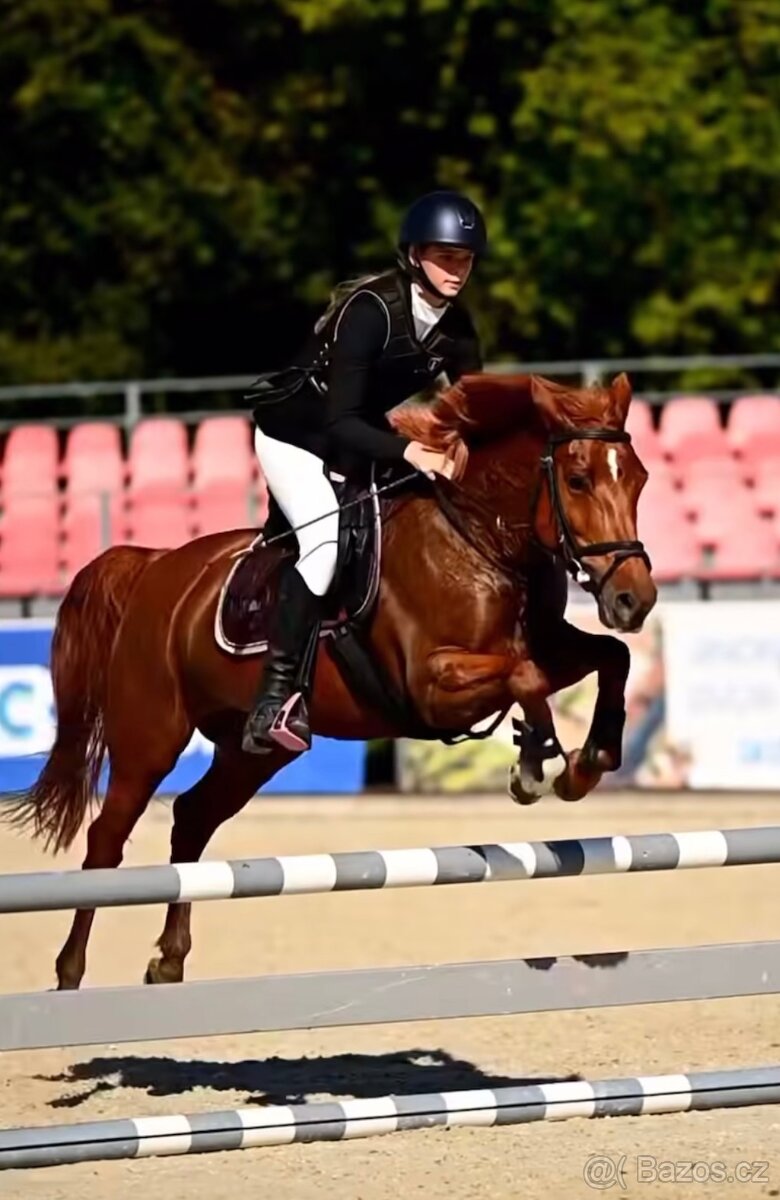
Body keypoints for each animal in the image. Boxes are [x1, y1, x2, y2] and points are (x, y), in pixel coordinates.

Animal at [4, 371, 656, 990]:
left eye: (641, 479)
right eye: (578, 480)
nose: (636, 599)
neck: (478, 538)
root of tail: (154, 565)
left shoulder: (546, 643)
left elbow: (610, 657)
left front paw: (586, 763)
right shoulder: (431, 687)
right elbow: (527, 677)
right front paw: (534, 763)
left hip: (252, 751)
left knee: (191, 818)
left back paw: (168, 960)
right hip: (149, 738)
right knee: (106, 840)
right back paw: (70, 972)